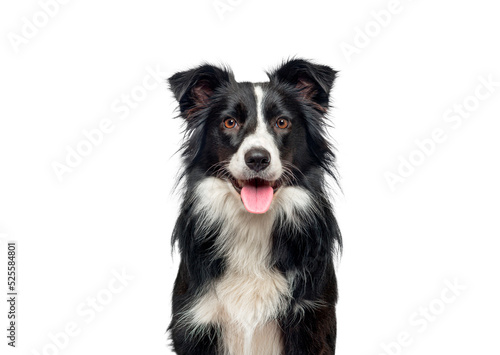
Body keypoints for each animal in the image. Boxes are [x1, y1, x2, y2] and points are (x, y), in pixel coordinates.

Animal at [166, 59, 342, 354]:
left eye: (282, 122)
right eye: (230, 122)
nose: (257, 158)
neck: (253, 224)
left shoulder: (313, 318)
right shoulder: (196, 319)